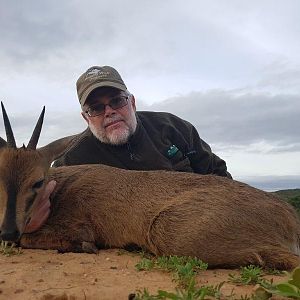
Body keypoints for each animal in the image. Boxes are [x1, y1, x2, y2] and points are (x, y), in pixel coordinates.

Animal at [0, 103, 300, 270]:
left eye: (37, 181)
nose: (7, 230)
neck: (61, 188)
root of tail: (289, 216)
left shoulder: (78, 226)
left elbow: (30, 240)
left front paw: (83, 247)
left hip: (168, 232)